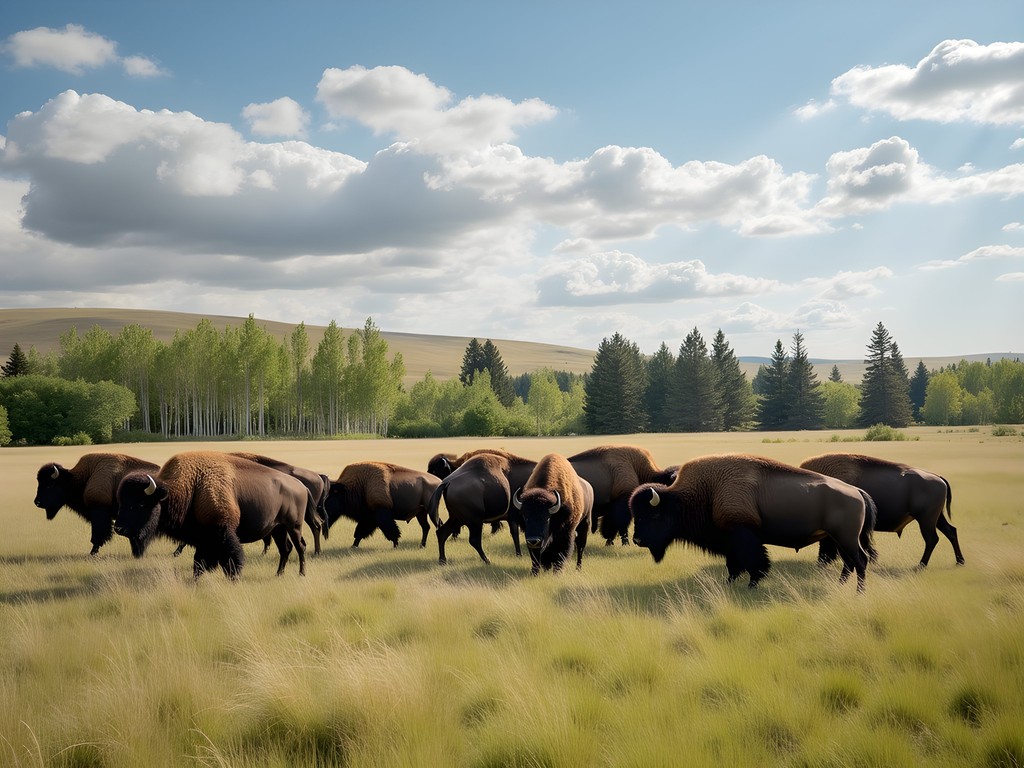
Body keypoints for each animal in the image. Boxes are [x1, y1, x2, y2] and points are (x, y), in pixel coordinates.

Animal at [115, 451, 310, 579]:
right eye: (122, 503)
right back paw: (278, 574)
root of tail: (300, 485)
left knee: (300, 547)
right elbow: (199, 563)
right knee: (285, 549)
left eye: (140, 504)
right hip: (277, 529)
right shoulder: (204, 539)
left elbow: (231, 558)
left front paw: (234, 578)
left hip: (294, 526)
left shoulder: (223, 531)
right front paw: (197, 580)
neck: (191, 486)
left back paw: (301, 573)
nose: (118, 528)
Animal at [630, 454, 874, 591]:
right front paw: (730, 583)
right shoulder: (729, 541)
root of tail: (857, 492)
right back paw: (841, 586)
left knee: (860, 561)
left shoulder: (743, 535)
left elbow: (755, 562)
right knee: (849, 563)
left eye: (652, 515)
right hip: (839, 539)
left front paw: (752, 585)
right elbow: (734, 566)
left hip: (847, 538)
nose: (637, 540)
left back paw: (859, 592)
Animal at [800, 452, 964, 568]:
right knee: (951, 531)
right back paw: (959, 562)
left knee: (931, 539)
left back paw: (921, 565)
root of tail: (939, 477)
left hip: (926, 520)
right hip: (936, 518)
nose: (820, 562)